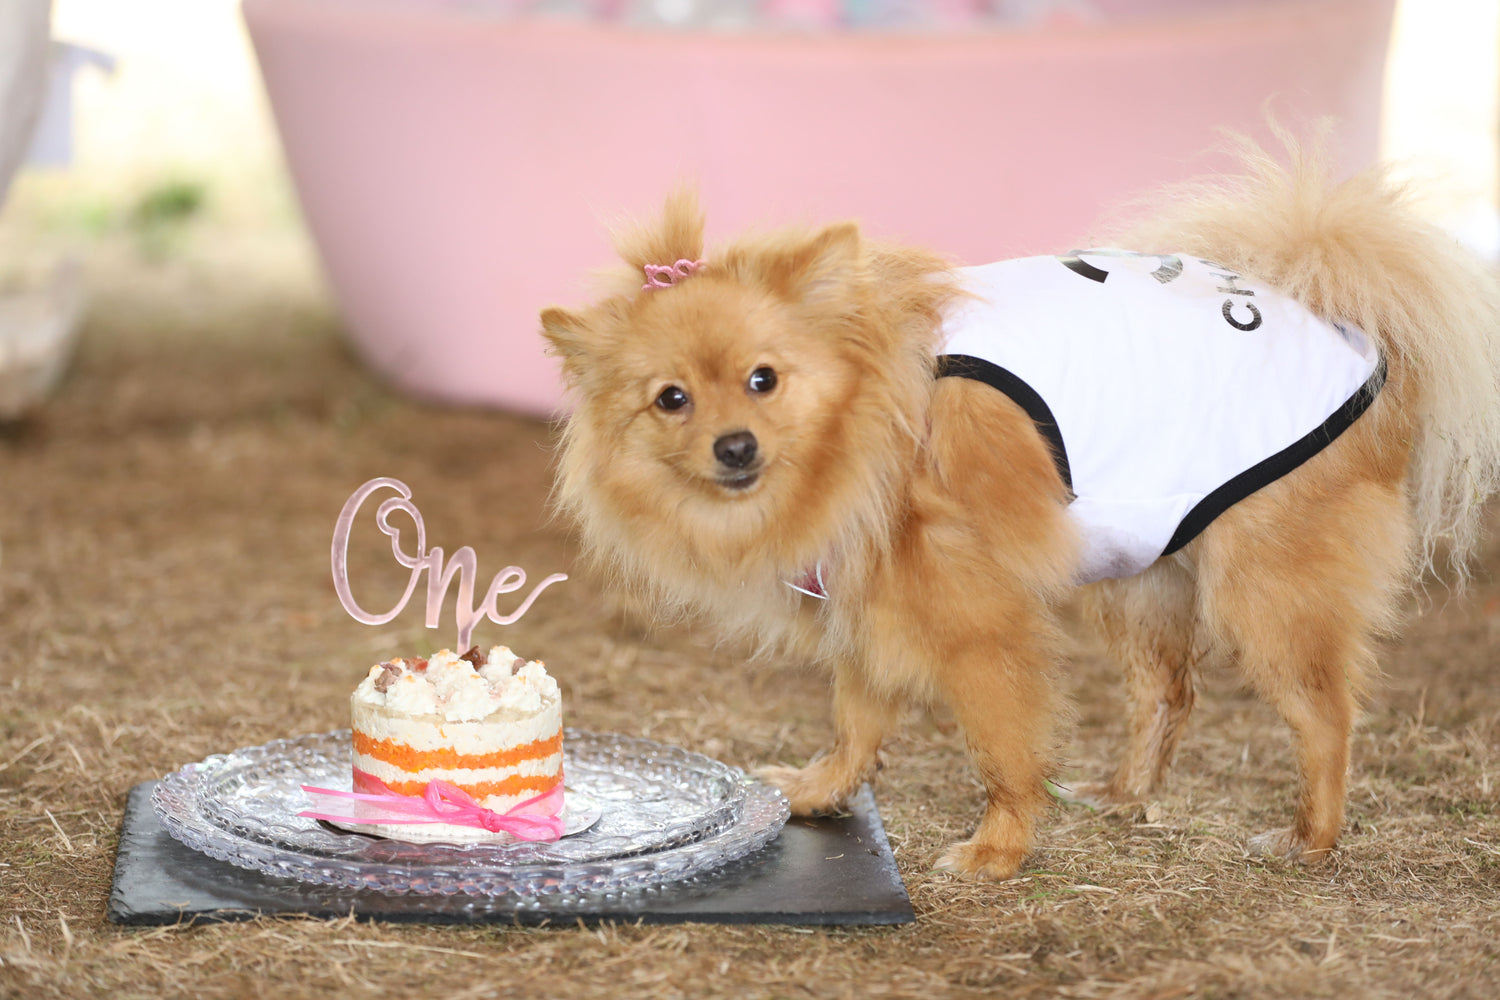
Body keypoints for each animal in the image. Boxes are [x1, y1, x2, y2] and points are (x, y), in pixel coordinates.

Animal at [540, 137, 1500, 881]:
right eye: (671, 400)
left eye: (762, 380)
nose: (734, 447)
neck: (867, 420)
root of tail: (1354, 332)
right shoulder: (874, 602)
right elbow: (857, 719)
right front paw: (821, 790)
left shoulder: (977, 624)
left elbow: (1003, 746)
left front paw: (998, 851)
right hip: (1144, 569)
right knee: (1169, 691)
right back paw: (1125, 795)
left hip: (1264, 594)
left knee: (1326, 716)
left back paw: (1311, 838)